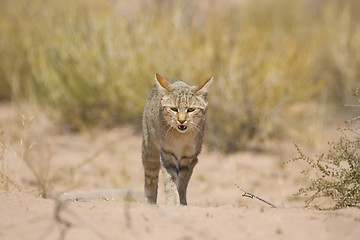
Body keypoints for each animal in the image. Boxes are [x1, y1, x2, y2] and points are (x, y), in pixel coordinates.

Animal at [141, 72, 214, 204]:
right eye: (174, 109)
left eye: (191, 109)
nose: (181, 120)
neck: (181, 137)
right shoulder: (167, 154)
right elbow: (170, 181)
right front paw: (173, 202)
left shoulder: (189, 157)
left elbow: (183, 183)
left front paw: (181, 201)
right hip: (149, 152)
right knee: (150, 179)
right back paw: (150, 202)